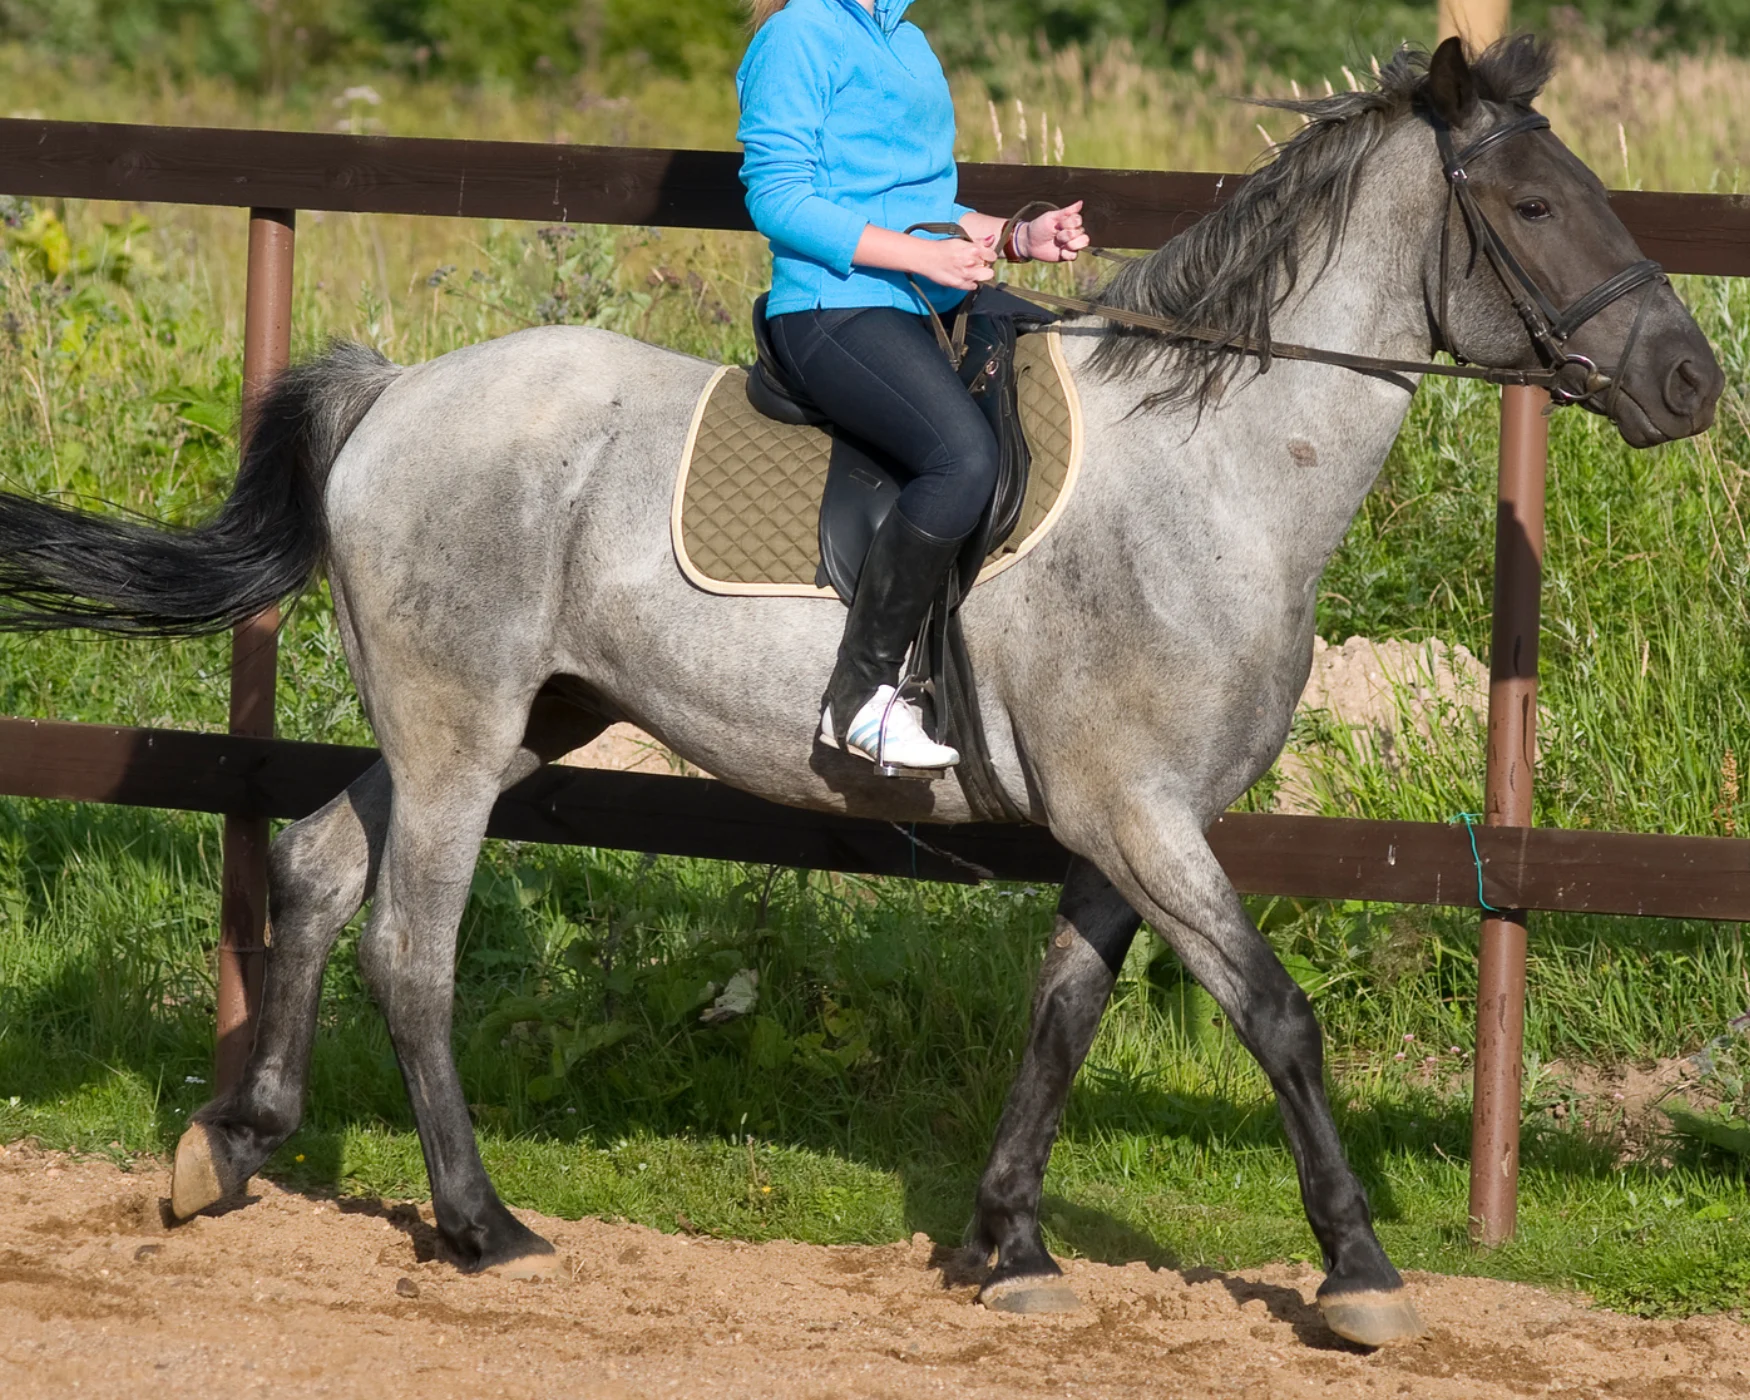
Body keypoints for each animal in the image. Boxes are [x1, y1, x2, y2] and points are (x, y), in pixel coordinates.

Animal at [0, 35, 1722, 1344]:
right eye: (1531, 202)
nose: (1689, 383)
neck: (1215, 474)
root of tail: (398, 388)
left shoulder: (1117, 826)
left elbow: (1059, 1015)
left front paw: (1008, 1246)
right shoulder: (1141, 813)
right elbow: (1275, 1015)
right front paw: (1358, 1274)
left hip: (500, 722)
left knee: (309, 864)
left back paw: (230, 1149)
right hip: (459, 727)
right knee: (409, 948)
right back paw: (484, 1226)